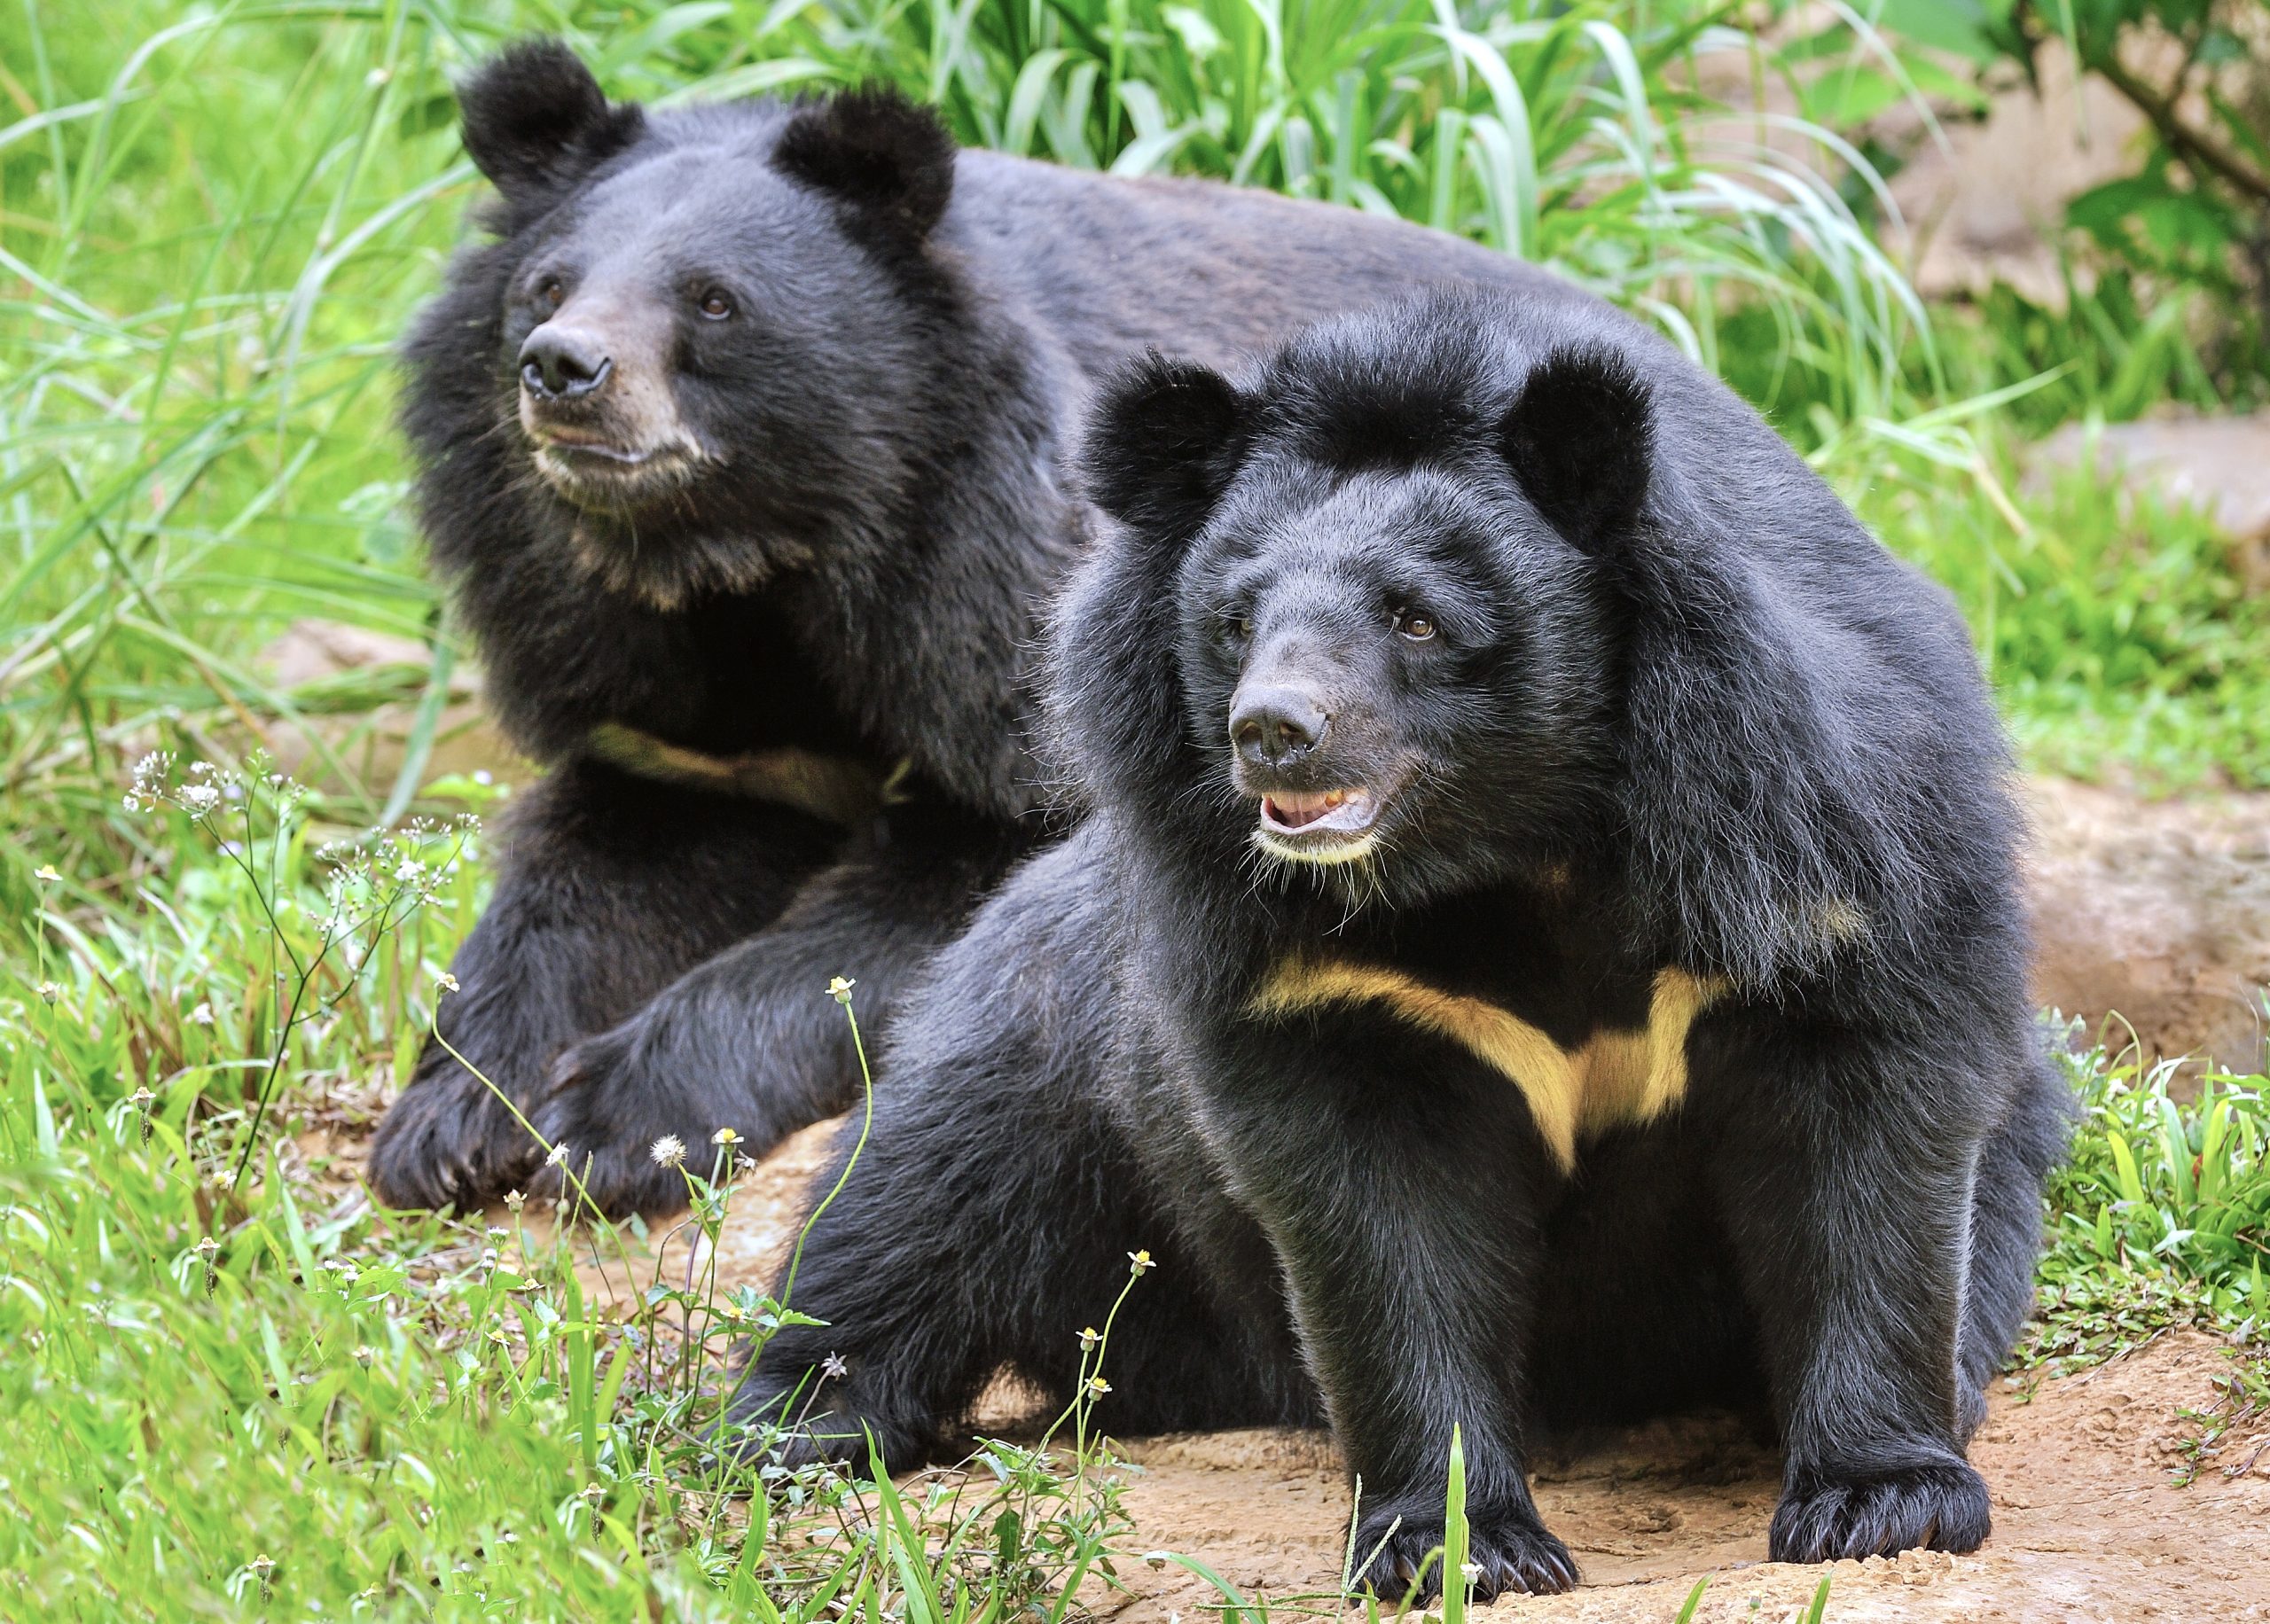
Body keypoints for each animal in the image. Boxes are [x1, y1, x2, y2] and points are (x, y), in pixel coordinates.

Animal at [367, 41, 1598, 1215]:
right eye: (545, 285)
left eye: (715, 301)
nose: (562, 369)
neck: (746, 563)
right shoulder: (631, 671)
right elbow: (593, 869)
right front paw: (448, 1121)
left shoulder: (988, 606)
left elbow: (919, 901)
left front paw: (610, 1118)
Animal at [731, 285, 2078, 1605]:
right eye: (1236, 618)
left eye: (1416, 618)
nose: (1272, 732)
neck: (1509, 849)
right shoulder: (1304, 969)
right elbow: (1382, 1222)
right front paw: (1456, 1542)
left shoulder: (1823, 852)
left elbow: (1865, 1142)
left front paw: (1879, 1499)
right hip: (1050, 1034)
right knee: (918, 1195)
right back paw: (795, 1428)